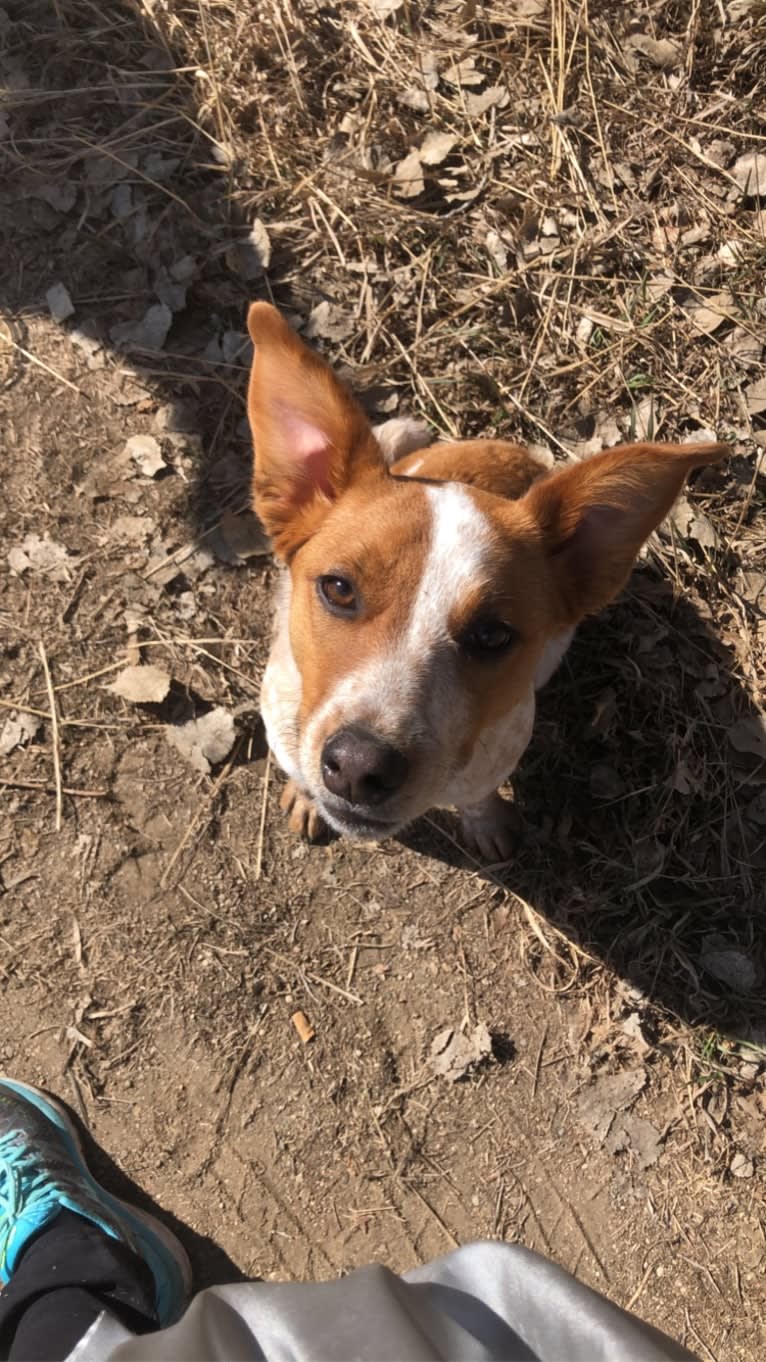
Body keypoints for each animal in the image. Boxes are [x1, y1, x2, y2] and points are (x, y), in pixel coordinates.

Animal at [245, 306, 725, 860]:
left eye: (493, 635)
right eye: (339, 588)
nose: (360, 767)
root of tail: (518, 453)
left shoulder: (496, 757)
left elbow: (478, 799)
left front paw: (487, 826)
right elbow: (300, 772)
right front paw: (305, 796)